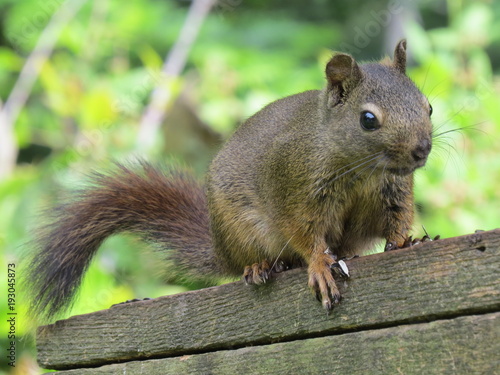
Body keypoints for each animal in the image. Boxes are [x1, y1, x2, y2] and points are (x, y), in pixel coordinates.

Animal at [28, 40, 434, 320]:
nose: (422, 150)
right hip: (242, 228)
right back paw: (262, 267)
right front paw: (320, 265)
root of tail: (220, 249)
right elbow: (305, 234)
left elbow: (396, 220)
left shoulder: (393, 193)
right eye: (368, 119)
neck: (361, 171)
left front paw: (408, 241)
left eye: (428, 106)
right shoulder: (293, 189)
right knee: (254, 260)